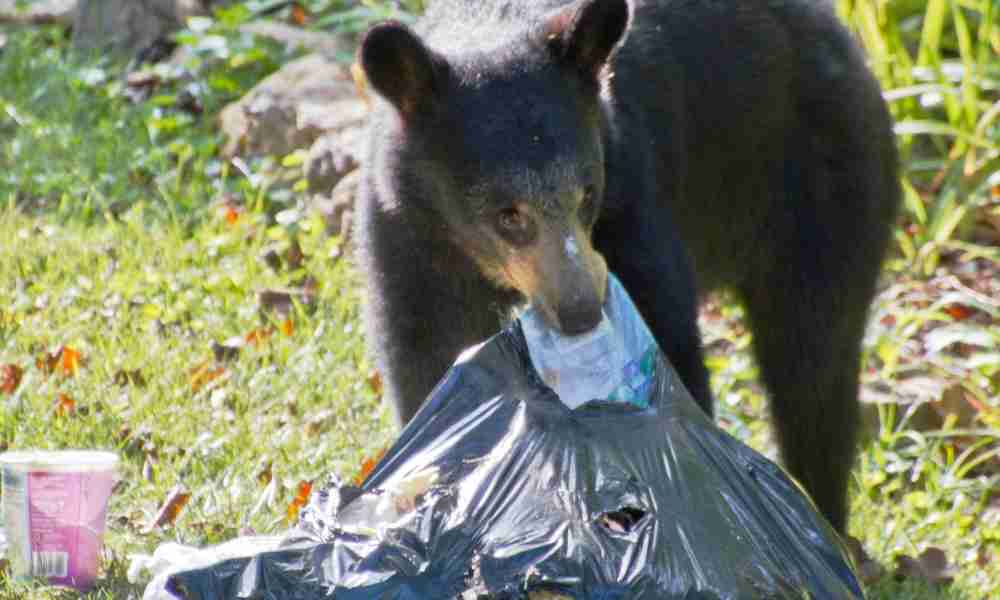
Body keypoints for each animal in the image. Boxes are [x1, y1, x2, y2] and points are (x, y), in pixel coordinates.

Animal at [352, 0, 900, 536]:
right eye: (507, 214)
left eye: (587, 193)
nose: (580, 313)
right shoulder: (407, 236)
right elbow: (424, 356)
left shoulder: (633, 202)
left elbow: (671, 347)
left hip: (821, 188)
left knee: (812, 360)